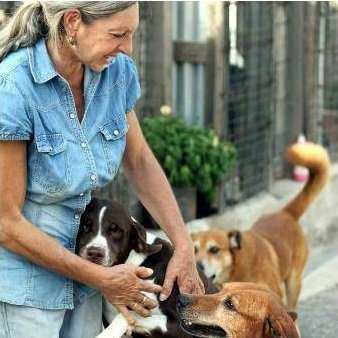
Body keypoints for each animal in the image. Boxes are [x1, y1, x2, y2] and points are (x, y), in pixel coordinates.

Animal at [75, 197, 218, 336]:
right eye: (85, 226)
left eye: (116, 230)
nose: (94, 252)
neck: (134, 262)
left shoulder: (180, 326)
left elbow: (133, 314)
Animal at [193, 143, 330, 312]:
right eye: (194, 249)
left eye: (214, 250)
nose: (198, 265)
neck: (238, 266)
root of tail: (285, 213)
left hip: (293, 282)